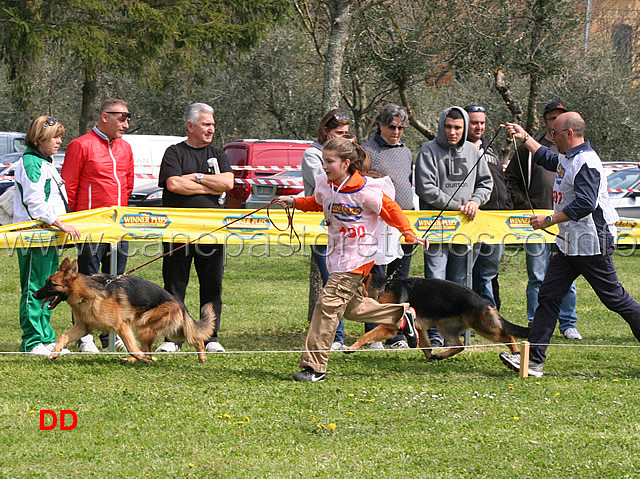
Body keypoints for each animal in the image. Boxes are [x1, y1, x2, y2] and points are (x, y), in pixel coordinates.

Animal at [32, 258, 216, 364]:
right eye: (47, 282)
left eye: (51, 284)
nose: (33, 294)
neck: (87, 294)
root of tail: (179, 303)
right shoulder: (83, 327)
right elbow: (63, 336)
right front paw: (54, 353)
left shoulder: (122, 326)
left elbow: (132, 347)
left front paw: (141, 358)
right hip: (172, 330)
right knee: (196, 338)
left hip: (145, 328)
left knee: (150, 350)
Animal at [348, 276, 528, 362]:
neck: (383, 289)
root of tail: (485, 302)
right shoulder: (419, 328)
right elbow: (426, 346)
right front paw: (429, 358)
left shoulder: (390, 326)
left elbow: (366, 335)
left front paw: (352, 347)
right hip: (446, 328)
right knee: (459, 346)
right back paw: (440, 356)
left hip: (484, 327)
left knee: (508, 336)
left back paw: (516, 354)